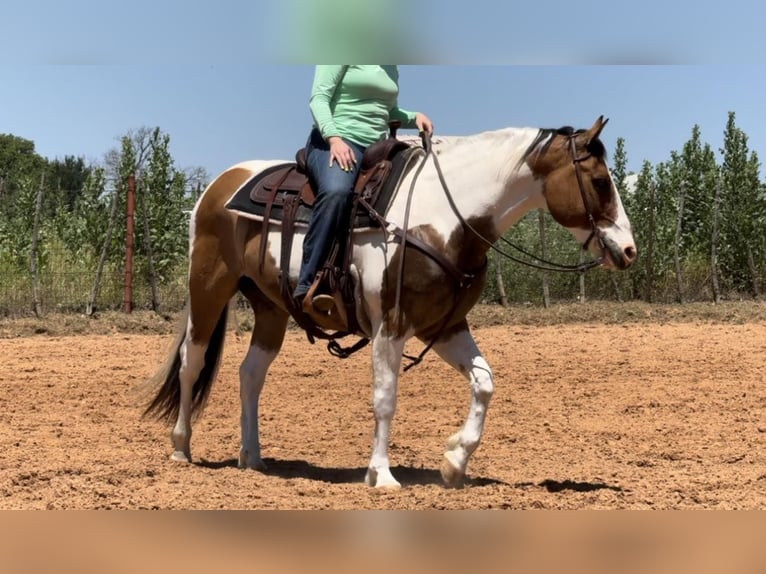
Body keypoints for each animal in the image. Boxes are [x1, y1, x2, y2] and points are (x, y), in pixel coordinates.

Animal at [144, 116, 636, 490]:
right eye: (599, 181)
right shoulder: (391, 325)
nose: (629, 250)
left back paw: (252, 455)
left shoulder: (445, 325)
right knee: (191, 361)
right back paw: (181, 446)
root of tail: (218, 184)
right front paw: (381, 474)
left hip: (271, 308)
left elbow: (484, 382)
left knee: (250, 374)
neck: (444, 216)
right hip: (208, 288)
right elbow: (385, 399)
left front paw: (454, 462)